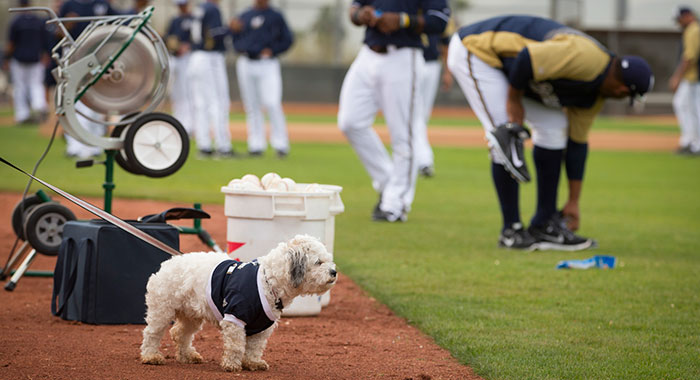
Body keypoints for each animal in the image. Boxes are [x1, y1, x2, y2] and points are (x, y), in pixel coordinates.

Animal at [139, 235, 336, 372]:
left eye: (328, 261)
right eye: (318, 262)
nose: (334, 272)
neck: (269, 281)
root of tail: (168, 263)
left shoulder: (262, 326)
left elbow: (254, 348)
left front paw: (253, 363)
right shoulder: (235, 319)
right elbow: (235, 346)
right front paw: (232, 365)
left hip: (191, 316)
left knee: (180, 333)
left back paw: (187, 355)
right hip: (162, 311)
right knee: (152, 334)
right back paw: (151, 356)